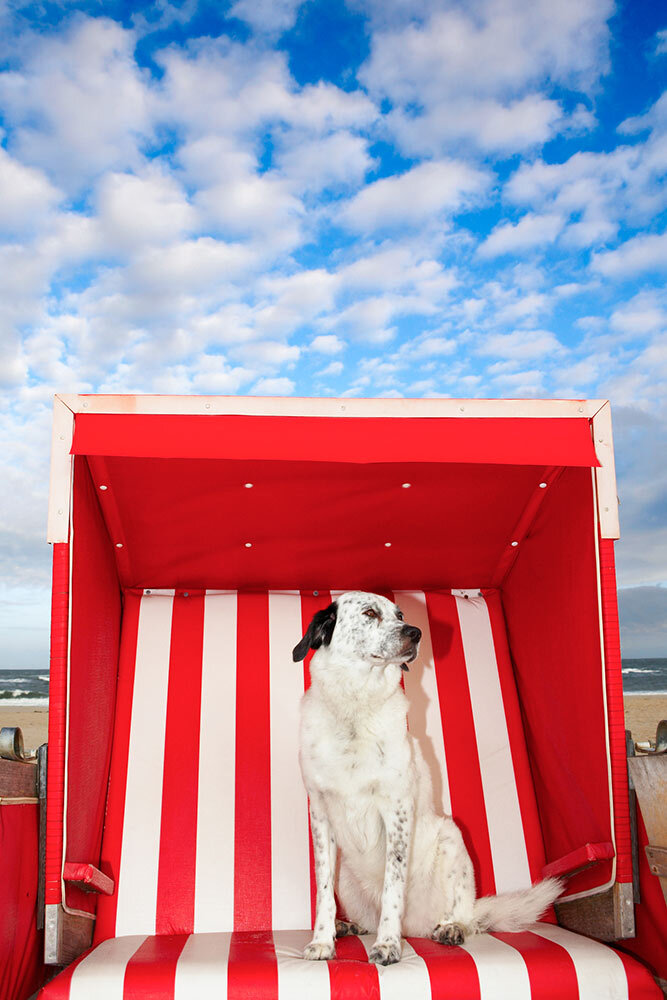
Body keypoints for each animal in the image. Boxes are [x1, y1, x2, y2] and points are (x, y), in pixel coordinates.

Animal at [294, 588, 560, 964]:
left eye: (401, 614)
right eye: (370, 613)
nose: (416, 632)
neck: (355, 708)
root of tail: (415, 928)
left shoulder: (396, 812)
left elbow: (393, 886)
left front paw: (388, 946)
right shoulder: (320, 814)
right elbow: (323, 891)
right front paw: (322, 940)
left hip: (452, 839)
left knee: (465, 916)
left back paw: (450, 928)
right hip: (348, 874)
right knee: (365, 917)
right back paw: (348, 927)